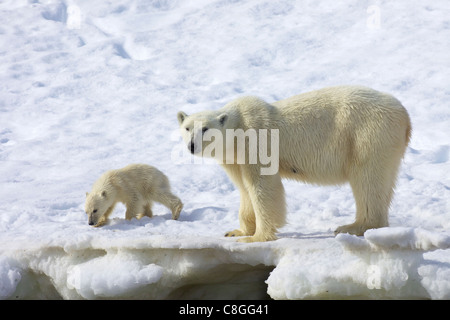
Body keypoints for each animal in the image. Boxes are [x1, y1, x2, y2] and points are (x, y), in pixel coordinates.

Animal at [177, 85, 412, 242]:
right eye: (187, 127)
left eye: (205, 128)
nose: (192, 145)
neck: (238, 128)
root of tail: (405, 116)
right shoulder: (235, 158)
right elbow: (244, 189)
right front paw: (236, 231)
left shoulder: (256, 142)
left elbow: (263, 187)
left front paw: (255, 237)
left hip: (366, 136)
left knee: (367, 180)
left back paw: (353, 226)